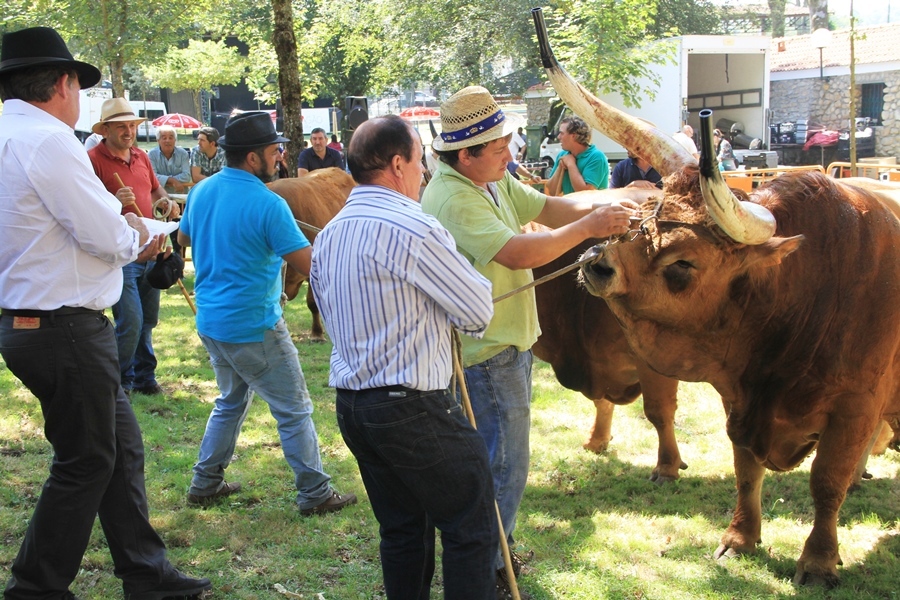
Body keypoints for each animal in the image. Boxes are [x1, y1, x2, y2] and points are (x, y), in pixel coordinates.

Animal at [536, 8, 900, 584]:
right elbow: (744, 466)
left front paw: (819, 559)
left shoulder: (855, 405)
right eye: (643, 219)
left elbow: (826, 480)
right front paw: (740, 537)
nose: (596, 262)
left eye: (684, 262)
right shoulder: (738, 394)